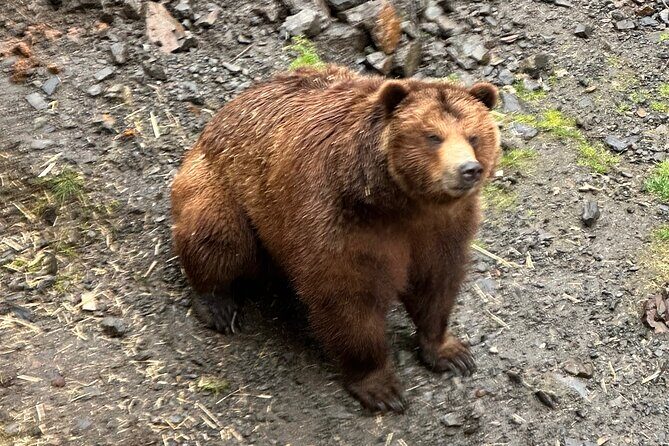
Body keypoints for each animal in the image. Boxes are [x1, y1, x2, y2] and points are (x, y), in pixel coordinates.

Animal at [170, 65, 500, 413]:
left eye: (474, 136)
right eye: (433, 136)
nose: (468, 169)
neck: (402, 204)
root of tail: (217, 118)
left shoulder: (441, 228)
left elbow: (436, 283)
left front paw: (451, 352)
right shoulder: (340, 220)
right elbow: (348, 298)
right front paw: (381, 387)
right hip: (224, 186)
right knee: (218, 235)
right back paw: (218, 304)